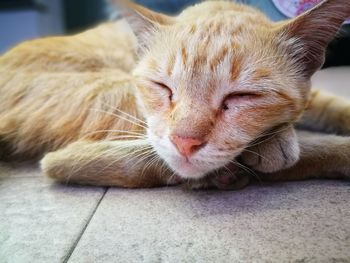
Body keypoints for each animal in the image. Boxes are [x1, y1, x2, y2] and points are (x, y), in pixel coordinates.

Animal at [0, 0, 350, 190]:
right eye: (164, 88)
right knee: (67, 160)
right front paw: (277, 139)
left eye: (241, 96)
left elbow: (328, 105)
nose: (185, 143)